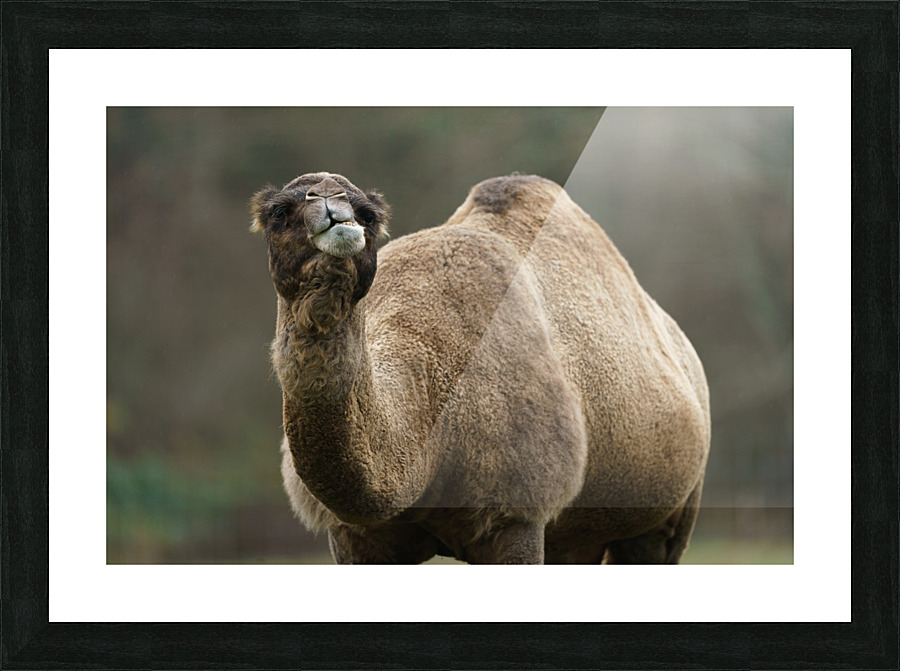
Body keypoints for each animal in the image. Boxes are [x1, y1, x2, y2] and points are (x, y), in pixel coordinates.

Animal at [250, 172, 710, 564]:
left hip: (670, 514)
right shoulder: (354, 535)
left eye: (368, 214)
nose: (330, 201)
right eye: (278, 212)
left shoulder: (516, 514)